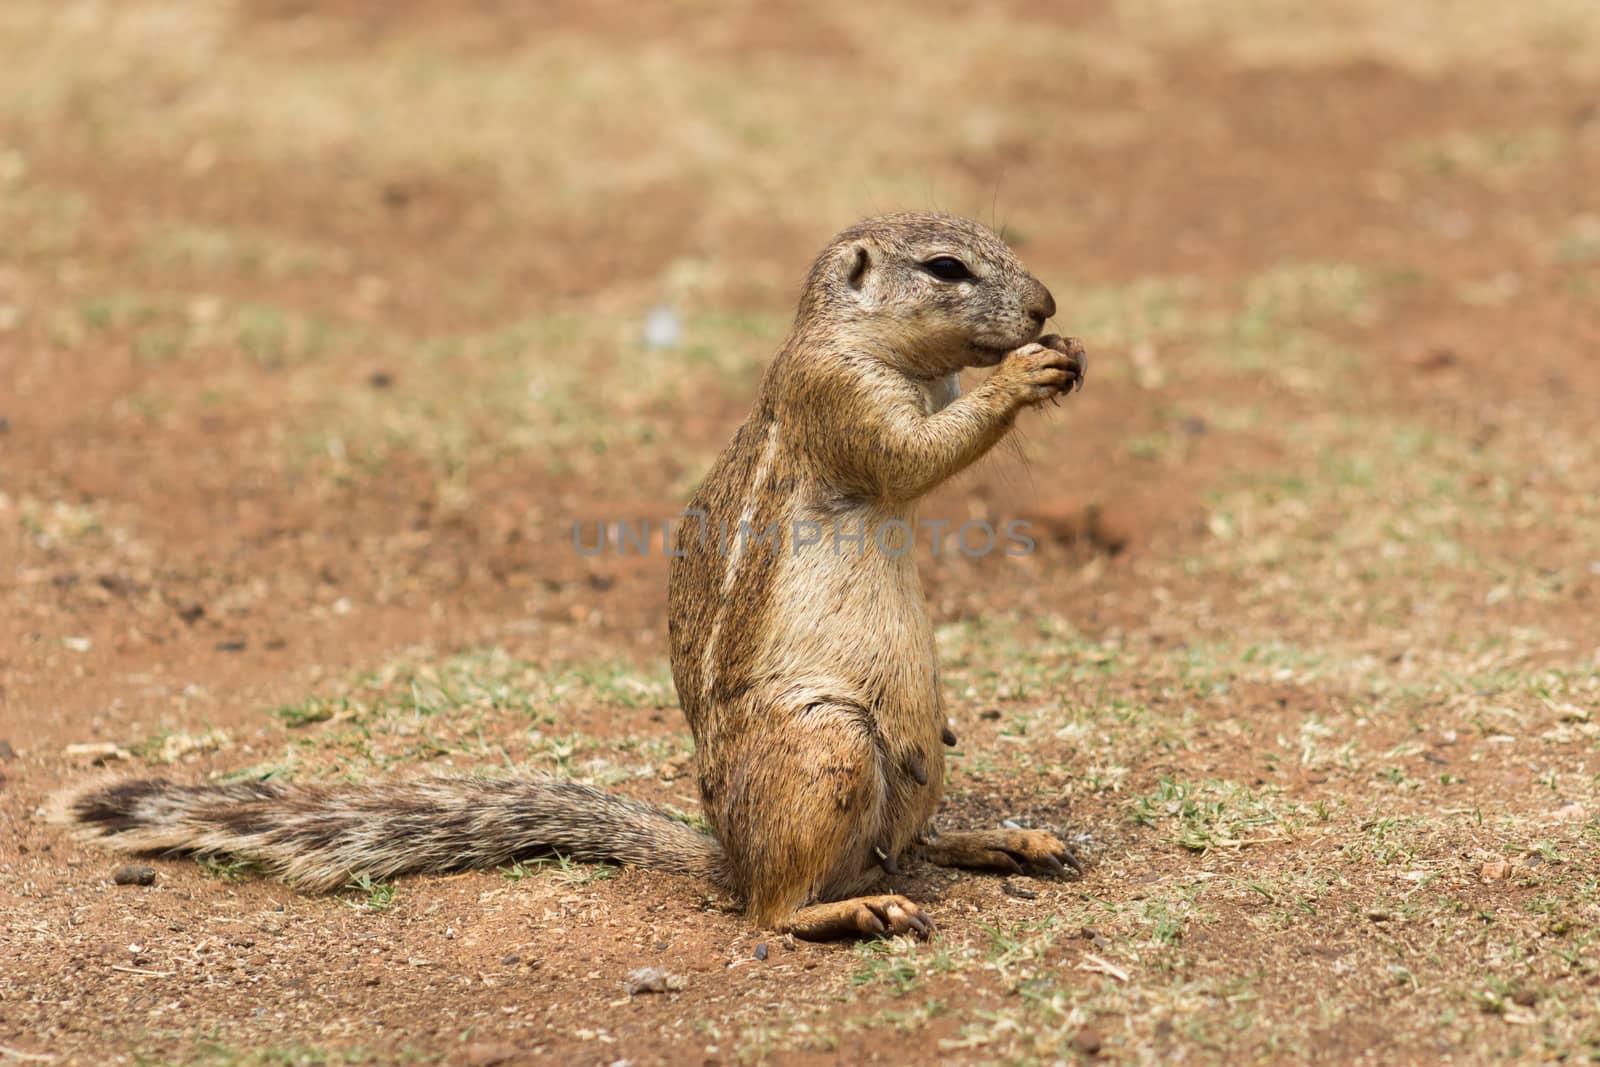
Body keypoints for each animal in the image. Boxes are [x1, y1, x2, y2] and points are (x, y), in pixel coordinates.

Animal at [59, 211, 1088, 940]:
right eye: (946, 268)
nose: (1045, 307)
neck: (877, 346)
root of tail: (726, 856)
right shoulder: (837, 397)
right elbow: (913, 454)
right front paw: (1024, 375)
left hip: (921, 753)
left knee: (905, 845)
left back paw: (1005, 839)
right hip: (825, 747)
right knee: (782, 905)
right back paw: (850, 909)